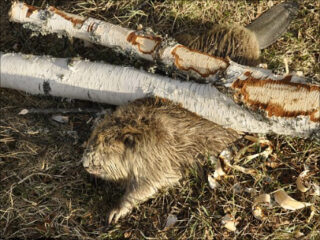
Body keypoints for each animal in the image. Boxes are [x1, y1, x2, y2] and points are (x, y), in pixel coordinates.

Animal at [82, 97, 240, 223]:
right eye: (93, 138)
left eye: (105, 147)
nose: (85, 164)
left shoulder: (159, 161)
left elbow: (148, 185)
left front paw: (115, 213)